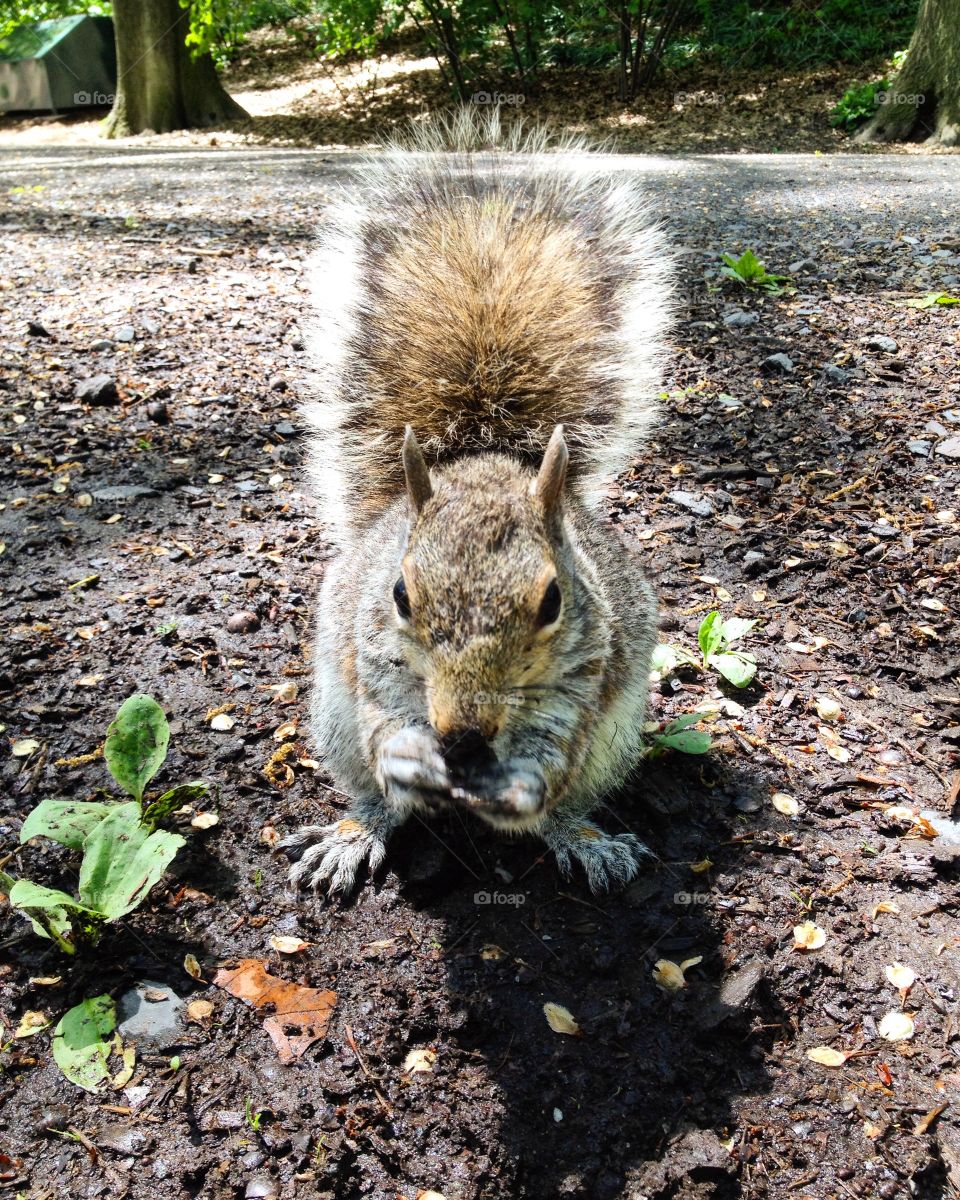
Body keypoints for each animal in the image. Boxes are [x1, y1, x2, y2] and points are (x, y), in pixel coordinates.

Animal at [282, 109, 672, 895]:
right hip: (333, 719)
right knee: (371, 795)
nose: (461, 733)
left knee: (571, 802)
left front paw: (528, 783)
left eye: (553, 601)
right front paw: (402, 758)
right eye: (400, 594)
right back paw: (355, 832)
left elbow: (556, 740)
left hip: (614, 741)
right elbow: (382, 719)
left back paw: (584, 838)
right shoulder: (372, 654)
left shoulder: (587, 670)